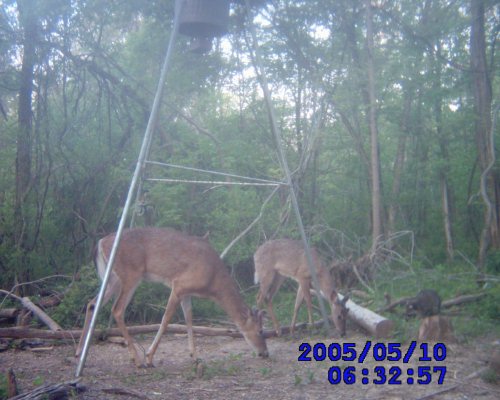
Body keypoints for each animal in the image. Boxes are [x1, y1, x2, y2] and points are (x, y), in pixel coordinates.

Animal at [74, 227, 268, 368]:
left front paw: (194, 356)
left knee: (92, 304)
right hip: (131, 274)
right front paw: (150, 356)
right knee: (117, 309)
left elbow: (189, 318)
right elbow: (166, 319)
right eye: (261, 330)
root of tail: (100, 243)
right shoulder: (179, 285)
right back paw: (137, 359)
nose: (265, 353)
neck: (213, 282)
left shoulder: (187, 293)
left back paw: (79, 353)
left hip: (113, 278)